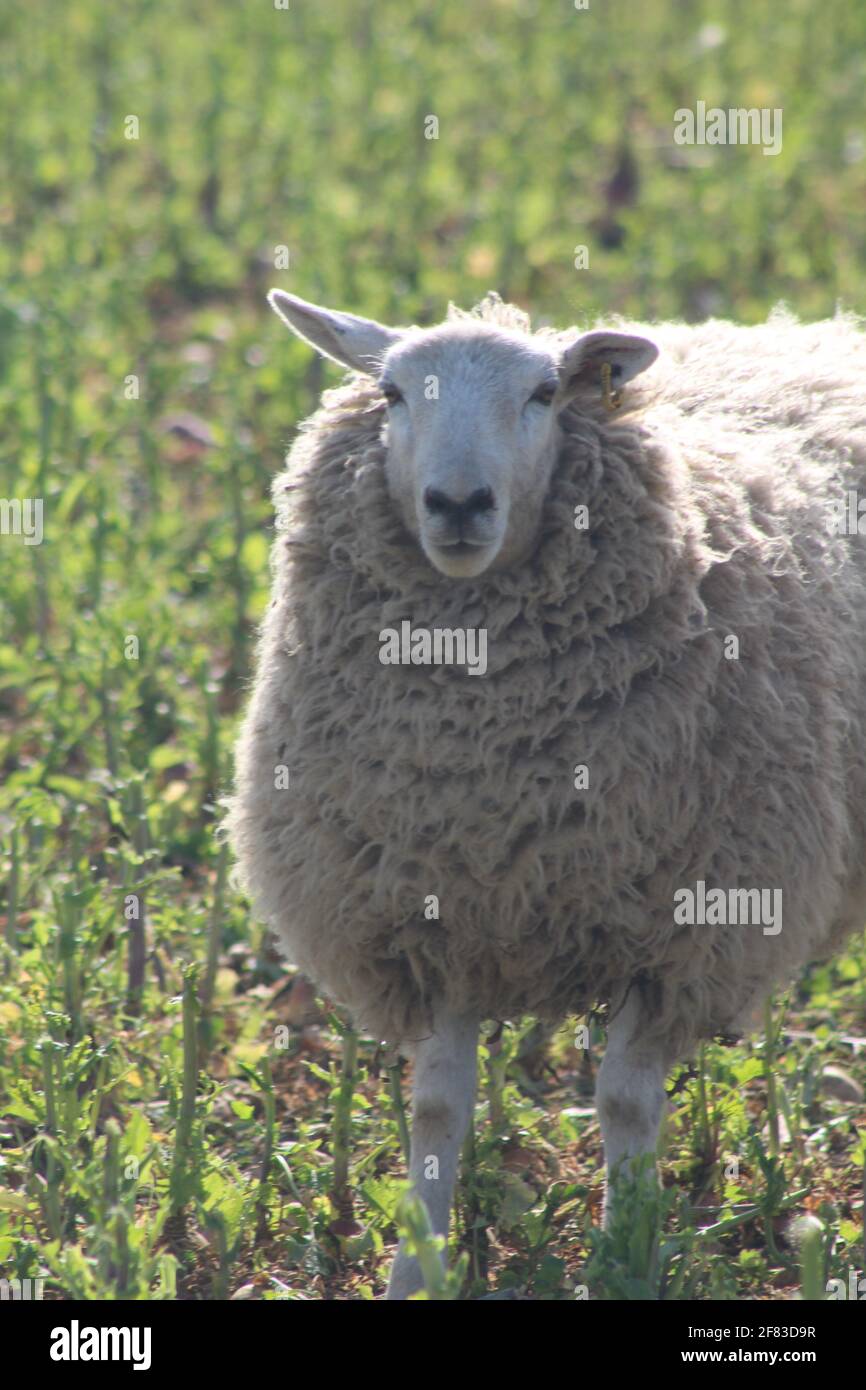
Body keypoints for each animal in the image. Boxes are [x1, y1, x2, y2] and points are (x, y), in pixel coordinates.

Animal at [226, 287, 866, 1295]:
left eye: (541, 394)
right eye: (392, 390)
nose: (458, 503)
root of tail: (820, 332)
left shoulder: (680, 930)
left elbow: (624, 1104)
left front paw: (625, 1255)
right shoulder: (434, 913)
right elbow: (437, 1111)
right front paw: (418, 1266)